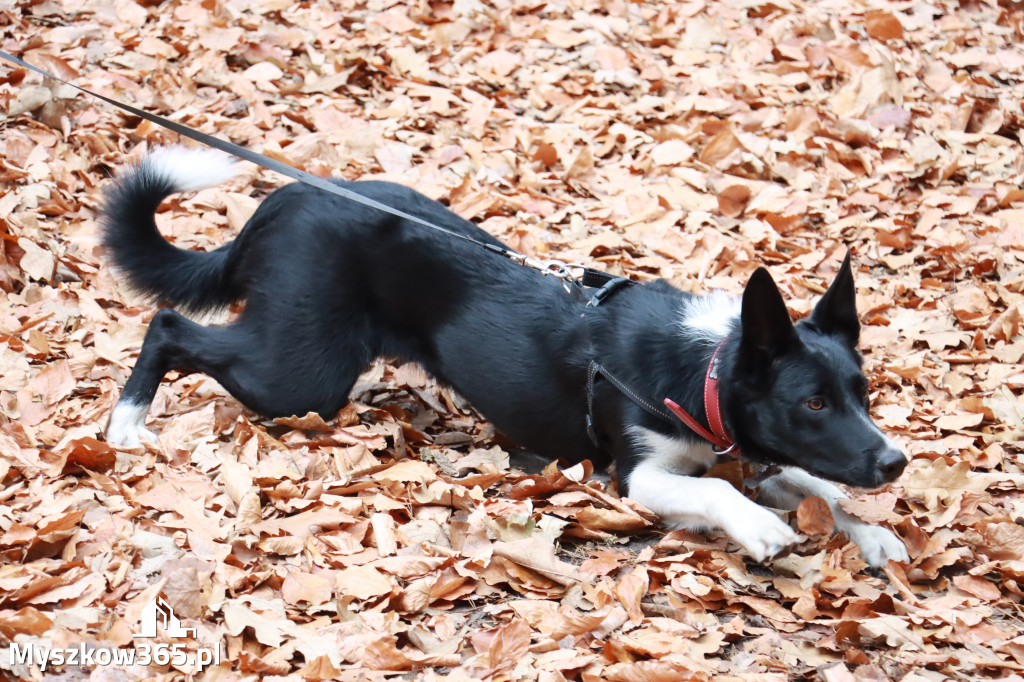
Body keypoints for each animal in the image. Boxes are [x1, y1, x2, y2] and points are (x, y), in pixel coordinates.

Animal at [103, 147, 909, 561]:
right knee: (169, 326)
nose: (896, 463)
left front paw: (870, 534)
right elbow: (719, 491)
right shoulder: (638, 475)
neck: (704, 372)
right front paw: (761, 526)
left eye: (863, 393)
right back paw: (125, 425)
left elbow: (816, 485)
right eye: (812, 401)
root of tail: (285, 200)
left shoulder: (753, 453)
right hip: (302, 376)